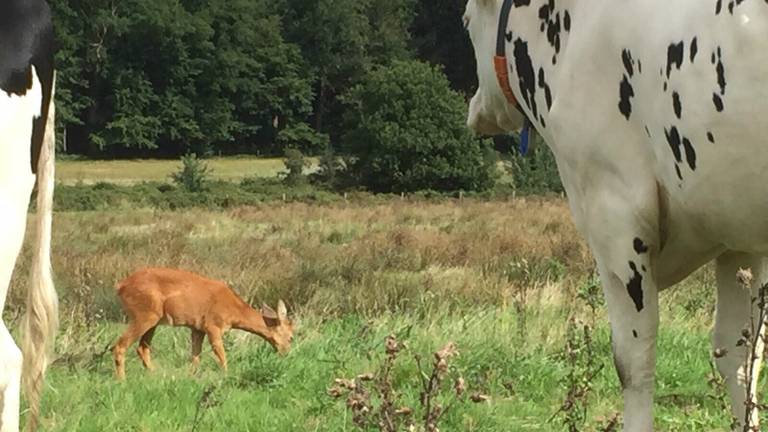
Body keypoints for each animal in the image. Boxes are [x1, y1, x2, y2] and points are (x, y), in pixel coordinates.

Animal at [112, 266, 292, 378]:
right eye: (291, 337)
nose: (286, 354)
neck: (233, 309)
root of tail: (121, 286)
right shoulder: (213, 326)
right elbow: (220, 354)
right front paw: (226, 375)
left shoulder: (197, 328)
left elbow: (196, 356)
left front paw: (192, 377)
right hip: (144, 315)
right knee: (120, 346)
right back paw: (122, 381)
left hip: (152, 320)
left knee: (142, 348)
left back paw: (154, 374)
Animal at [464, 0, 768, 430]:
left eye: (465, 22)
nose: (475, 110)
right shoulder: (735, 231)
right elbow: (739, 353)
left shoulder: (615, 216)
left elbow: (632, 360)